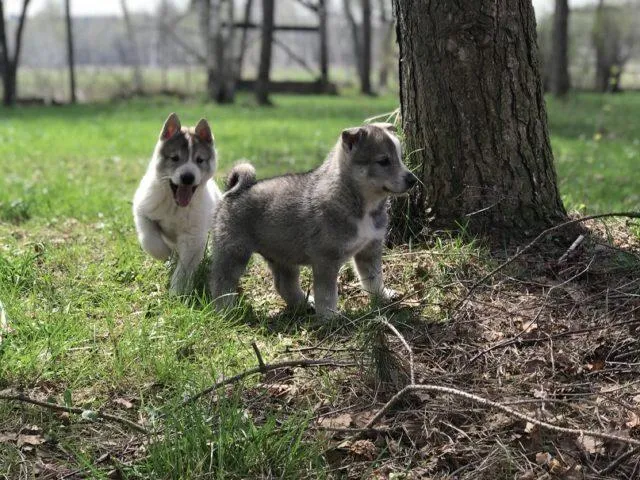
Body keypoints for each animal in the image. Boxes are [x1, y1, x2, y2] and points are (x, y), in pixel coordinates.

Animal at [132, 113, 220, 292]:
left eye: (200, 160)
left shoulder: (192, 238)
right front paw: (163, 254)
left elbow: (184, 269)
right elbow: (150, 240)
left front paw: (177, 291)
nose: (187, 177)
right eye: (175, 158)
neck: (174, 205)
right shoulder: (143, 212)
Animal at [208, 122, 418, 316]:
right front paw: (329, 317)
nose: (413, 180)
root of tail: (235, 190)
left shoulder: (370, 249)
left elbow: (374, 278)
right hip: (235, 253)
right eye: (383, 161)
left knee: (284, 284)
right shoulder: (326, 259)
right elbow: (326, 293)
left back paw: (304, 303)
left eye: (400, 157)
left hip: (283, 255)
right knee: (221, 283)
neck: (358, 201)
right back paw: (223, 311)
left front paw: (383, 296)